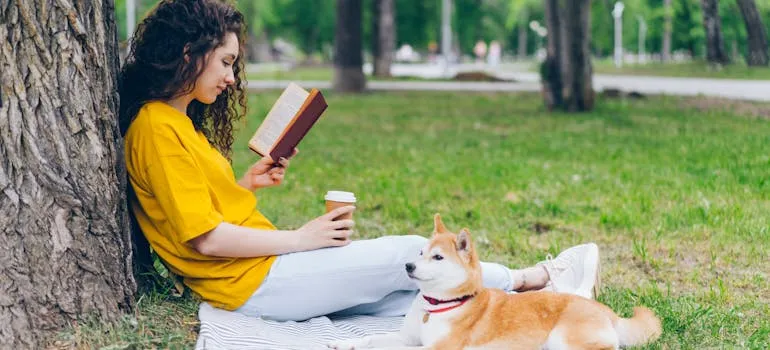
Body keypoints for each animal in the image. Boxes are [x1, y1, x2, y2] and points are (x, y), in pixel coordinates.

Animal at [328, 215, 656, 348]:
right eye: (420, 252)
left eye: (438, 258)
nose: (408, 265)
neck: (438, 306)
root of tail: (606, 312)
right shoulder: (408, 338)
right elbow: (372, 339)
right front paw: (344, 343)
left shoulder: (439, 349)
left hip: (563, 339)